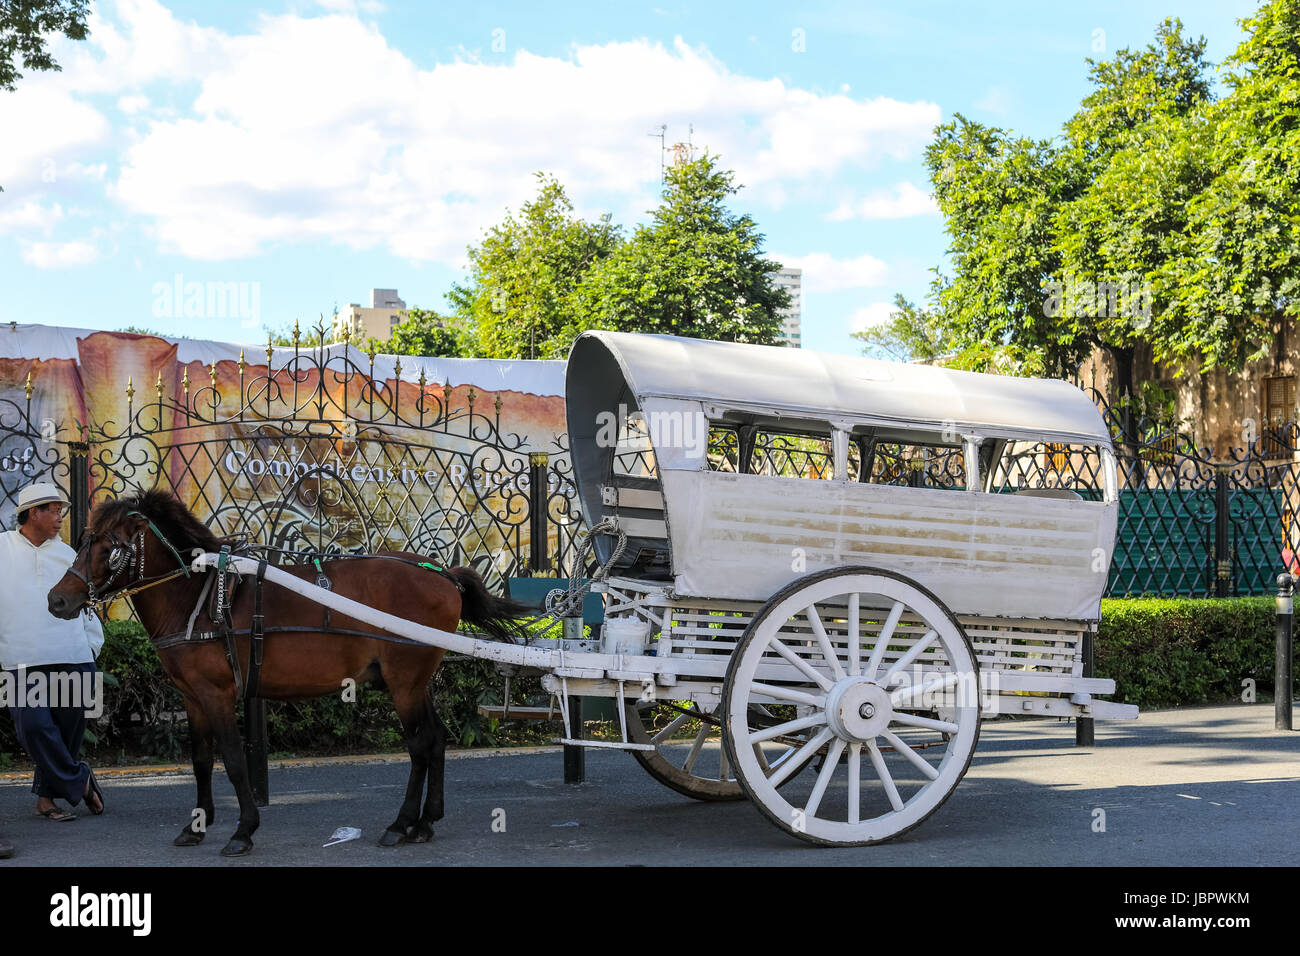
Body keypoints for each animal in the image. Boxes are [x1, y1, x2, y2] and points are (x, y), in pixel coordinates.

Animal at [49, 489, 527, 858]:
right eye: (85, 540)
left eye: (109, 547)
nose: (57, 600)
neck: (197, 597)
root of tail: (443, 573)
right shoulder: (191, 696)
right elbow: (201, 760)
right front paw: (196, 826)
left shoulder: (219, 693)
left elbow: (234, 760)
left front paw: (243, 831)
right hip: (415, 681)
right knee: (437, 739)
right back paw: (425, 822)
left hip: (405, 681)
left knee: (420, 743)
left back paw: (402, 823)